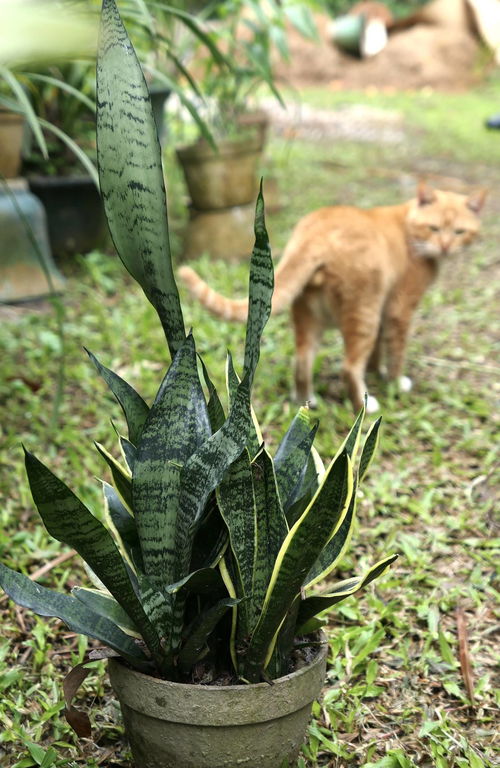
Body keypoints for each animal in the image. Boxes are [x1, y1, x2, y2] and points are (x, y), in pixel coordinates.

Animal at [179, 183, 484, 414]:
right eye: (434, 228)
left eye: (459, 232)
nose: (446, 246)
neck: (408, 226)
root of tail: (315, 233)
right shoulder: (399, 309)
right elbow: (395, 352)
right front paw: (395, 381)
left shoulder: (385, 310)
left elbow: (377, 351)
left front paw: (376, 370)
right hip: (363, 313)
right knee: (348, 367)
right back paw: (366, 405)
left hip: (309, 314)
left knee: (302, 360)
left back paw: (307, 401)